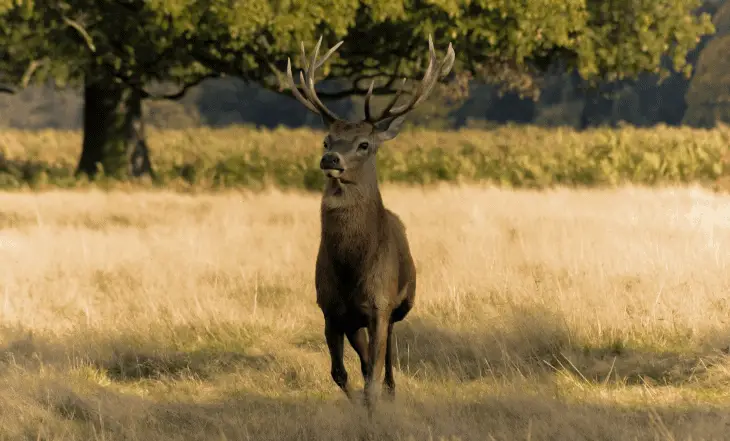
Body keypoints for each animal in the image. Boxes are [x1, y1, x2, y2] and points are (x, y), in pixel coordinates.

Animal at [286, 34, 452, 412]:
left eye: (364, 144)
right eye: (326, 140)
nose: (330, 159)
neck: (352, 269)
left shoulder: (380, 303)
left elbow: (373, 374)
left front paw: (376, 406)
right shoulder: (330, 309)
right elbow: (341, 373)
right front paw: (359, 406)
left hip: (398, 305)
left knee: (388, 353)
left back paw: (391, 390)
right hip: (354, 321)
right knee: (364, 360)